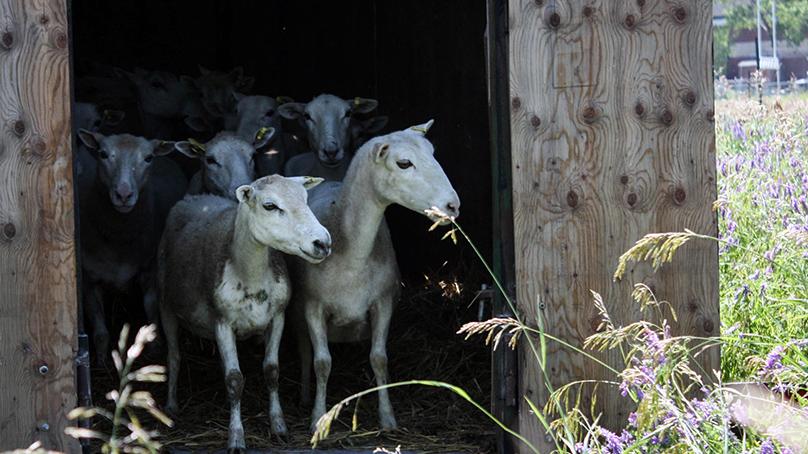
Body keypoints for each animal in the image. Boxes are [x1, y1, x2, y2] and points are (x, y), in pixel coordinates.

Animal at [76, 130, 188, 365]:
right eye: (103, 154)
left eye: (148, 158)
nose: (123, 195)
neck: (119, 240)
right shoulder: (88, 280)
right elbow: (100, 330)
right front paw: (101, 360)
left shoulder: (149, 270)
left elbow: (151, 309)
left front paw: (155, 348)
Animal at [157, 176, 332, 450]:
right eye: (270, 206)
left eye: (305, 199)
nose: (322, 242)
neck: (251, 275)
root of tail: (196, 197)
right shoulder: (222, 322)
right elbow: (235, 381)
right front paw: (236, 438)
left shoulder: (277, 317)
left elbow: (272, 371)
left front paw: (279, 426)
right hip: (165, 304)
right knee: (174, 356)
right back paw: (172, 406)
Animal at [288, 120, 460, 432]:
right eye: (403, 163)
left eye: (432, 153)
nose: (452, 206)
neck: (353, 254)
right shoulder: (312, 307)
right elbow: (321, 362)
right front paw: (318, 418)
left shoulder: (384, 302)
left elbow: (379, 358)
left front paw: (388, 418)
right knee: (305, 353)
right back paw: (305, 396)